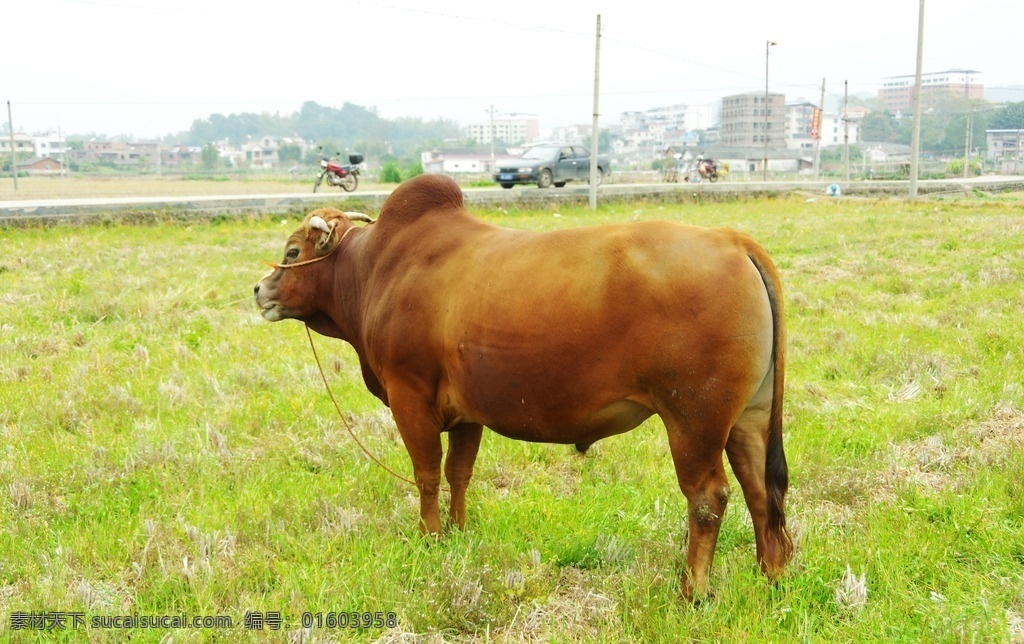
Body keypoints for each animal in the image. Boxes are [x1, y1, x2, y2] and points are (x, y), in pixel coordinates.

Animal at [253, 172, 790, 597]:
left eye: (292, 251)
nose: (260, 289)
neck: (375, 270)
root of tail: (731, 239)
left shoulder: (410, 397)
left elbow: (426, 473)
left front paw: (429, 537)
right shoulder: (466, 413)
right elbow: (459, 473)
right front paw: (458, 531)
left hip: (693, 419)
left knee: (708, 498)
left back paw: (692, 590)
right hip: (747, 417)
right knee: (761, 489)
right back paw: (772, 574)